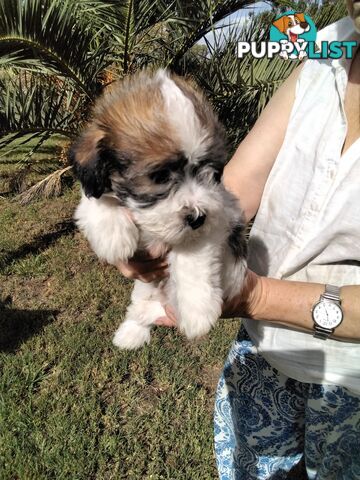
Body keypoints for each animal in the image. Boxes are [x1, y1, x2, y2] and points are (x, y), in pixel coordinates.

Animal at [70, 68, 246, 348]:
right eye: (160, 176)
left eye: (212, 173)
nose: (197, 217)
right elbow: (96, 200)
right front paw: (113, 237)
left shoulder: (216, 218)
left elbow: (192, 258)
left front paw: (197, 310)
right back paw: (132, 329)